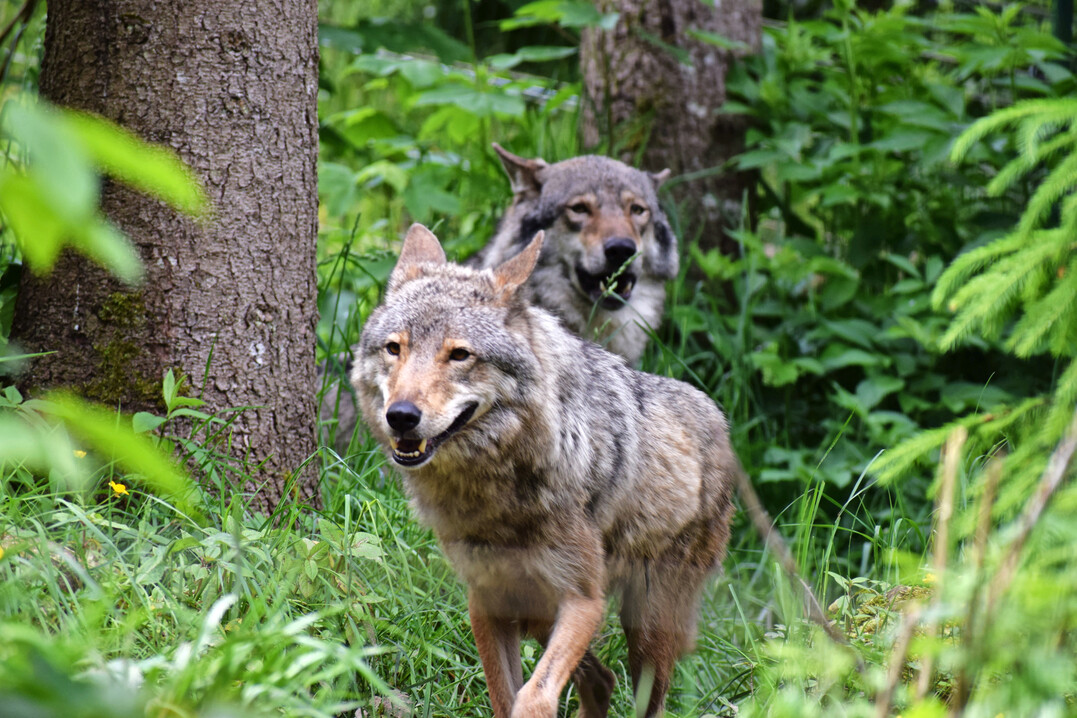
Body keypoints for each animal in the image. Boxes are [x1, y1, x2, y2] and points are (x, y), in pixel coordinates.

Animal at [352, 223, 738, 718]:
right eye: (394, 349)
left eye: (459, 355)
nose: (400, 416)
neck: (494, 493)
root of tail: (717, 416)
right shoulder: (487, 602)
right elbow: (506, 697)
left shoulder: (583, 599)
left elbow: (533, 697)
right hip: (539, 610)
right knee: (601, 678)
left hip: (646, 628)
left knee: (642, 699)